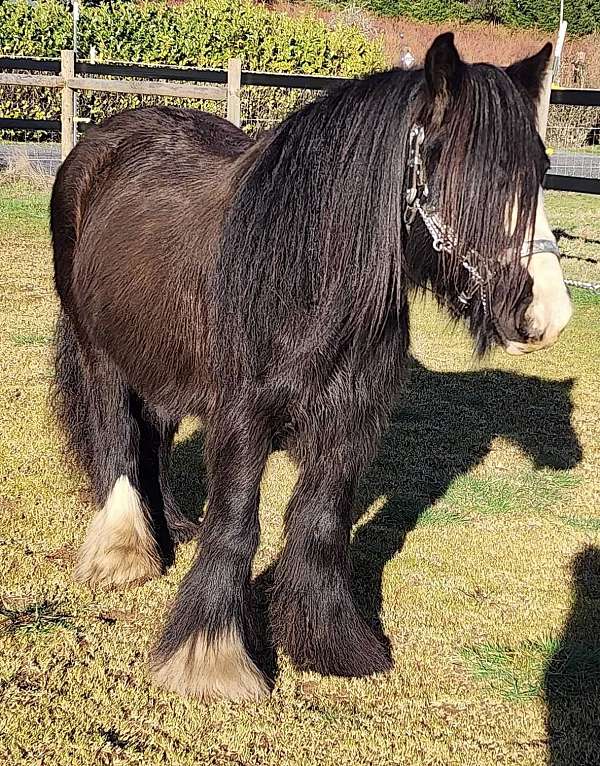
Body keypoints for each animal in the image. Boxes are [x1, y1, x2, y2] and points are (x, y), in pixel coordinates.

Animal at [51, 34, 572, 704]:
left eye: (540, 171)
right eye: (468, 170)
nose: (547, 315)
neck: (306, 274)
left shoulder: (348, 424)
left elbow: (321, 524)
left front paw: (329, 642)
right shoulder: (243, 420)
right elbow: (237, 525)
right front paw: (210, 659)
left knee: (153, 439)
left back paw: (171, 526)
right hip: (101, 352)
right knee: (115, 436)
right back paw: (124, 553)